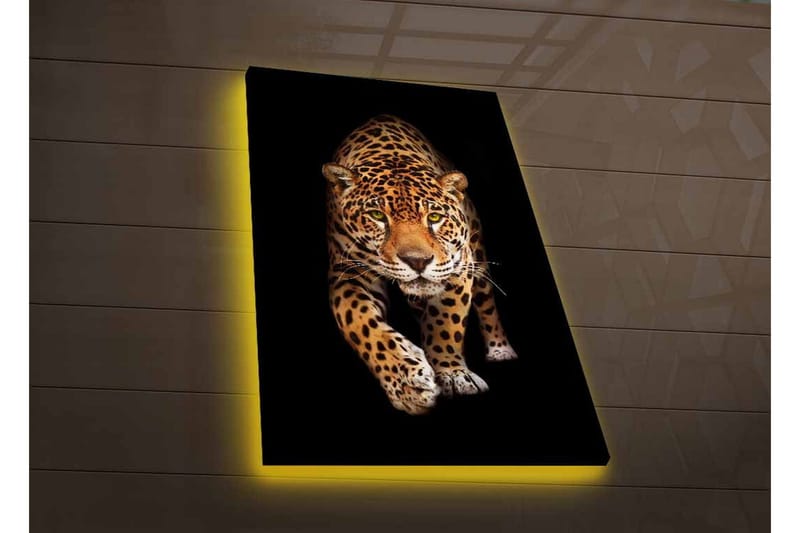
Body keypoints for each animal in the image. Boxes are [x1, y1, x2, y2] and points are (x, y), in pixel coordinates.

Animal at [323, 114, 517, 415]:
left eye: (435, 217)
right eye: (377, 215)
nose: (418, 261)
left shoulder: (457, 265)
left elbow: (445, 321)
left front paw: (452, 374)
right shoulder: (349, 273)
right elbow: (361, 323)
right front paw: (407, 383)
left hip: (478, 256)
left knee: (487, 303)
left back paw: (500, 350)